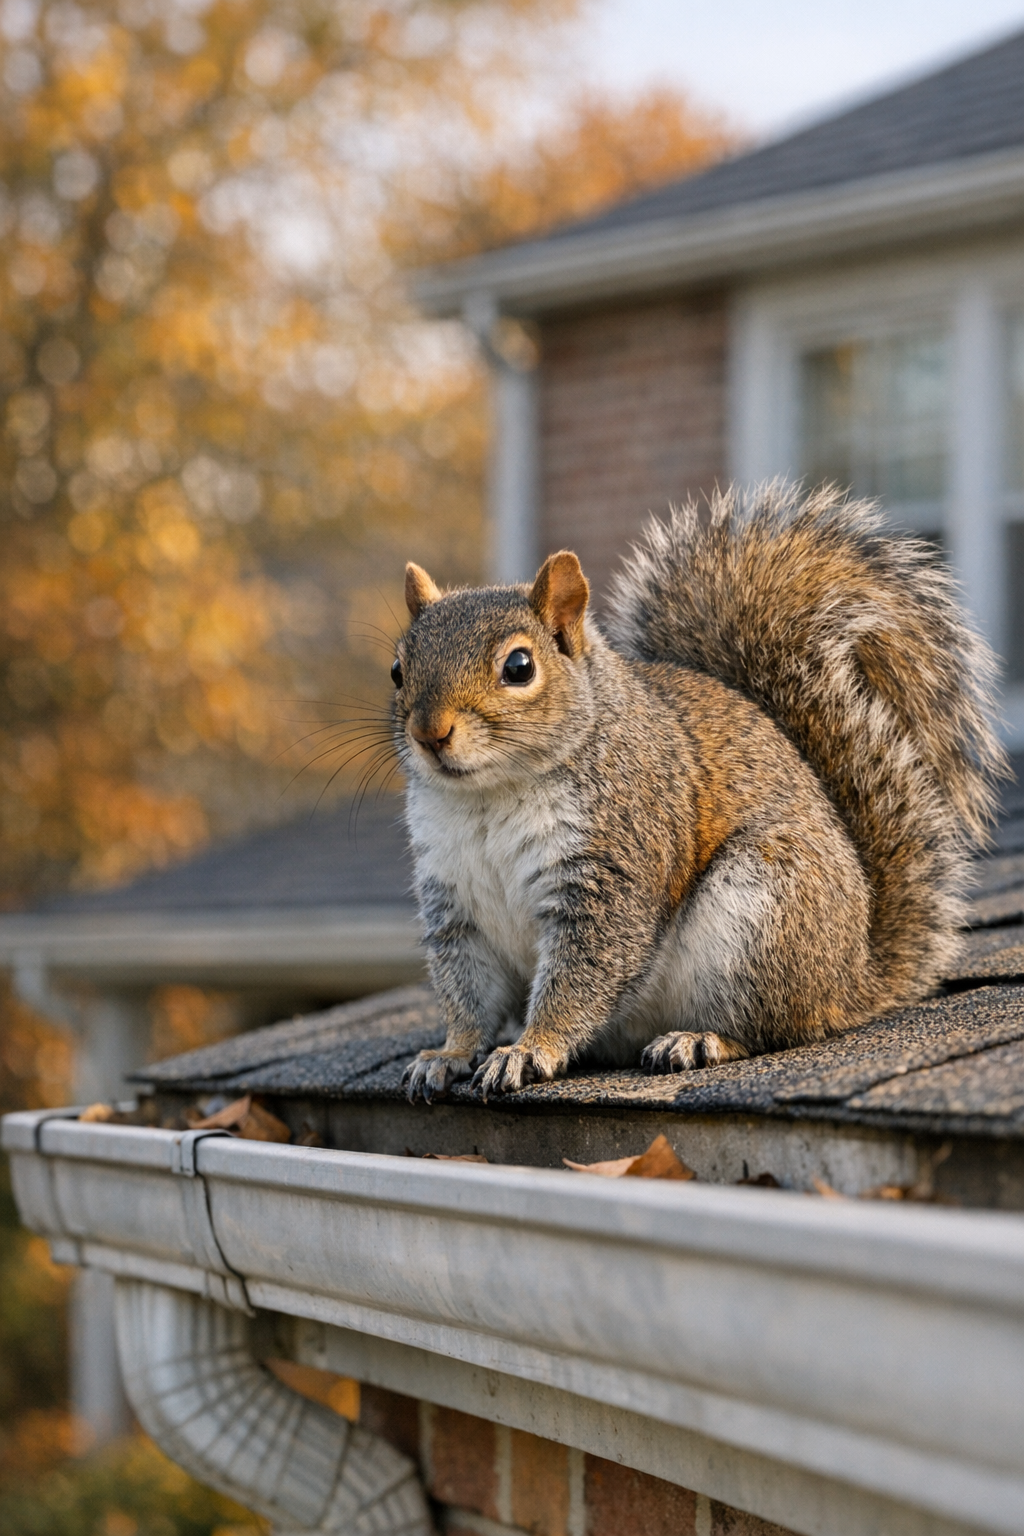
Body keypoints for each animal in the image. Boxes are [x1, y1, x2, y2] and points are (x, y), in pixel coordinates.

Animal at [394, 483, 1007, 1103]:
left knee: (769, 1028)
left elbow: (582, 972)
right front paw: (450, 1054)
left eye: (519, 666)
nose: (430, 733)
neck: (490, 798)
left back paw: (699, 1040)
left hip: (763, 914)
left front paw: (528, 1049)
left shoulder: (614, 864)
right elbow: (467, 991)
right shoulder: (454, 903)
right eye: (398, 669)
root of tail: (854, 977)